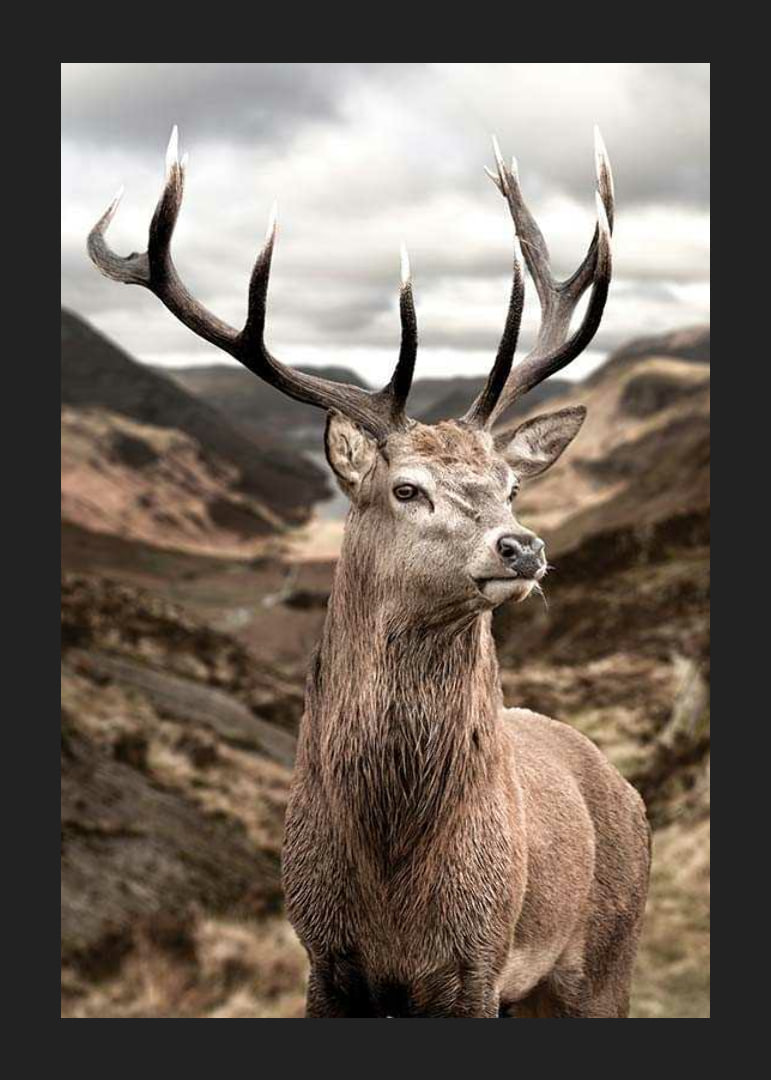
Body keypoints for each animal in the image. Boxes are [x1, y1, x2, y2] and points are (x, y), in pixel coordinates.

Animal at [88, 126, 651, 1018]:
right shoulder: (322, 955)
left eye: (511, 485)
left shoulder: (478, 960)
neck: (391, 883)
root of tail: (625, 788)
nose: (521, 547)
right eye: (406, 488)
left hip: (603, 958)